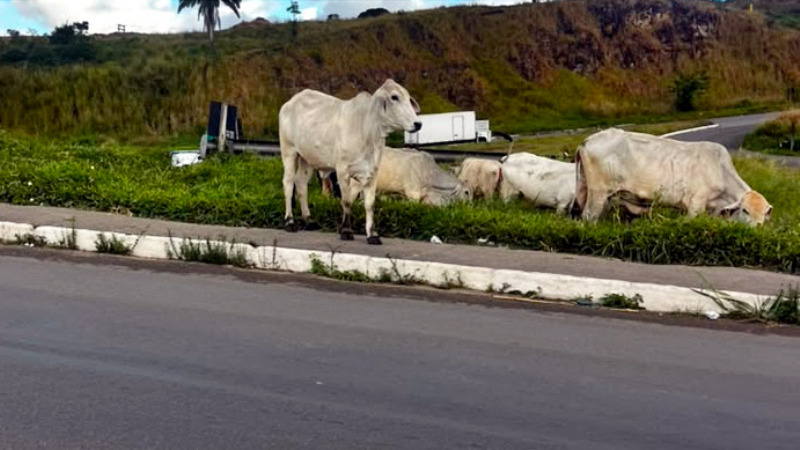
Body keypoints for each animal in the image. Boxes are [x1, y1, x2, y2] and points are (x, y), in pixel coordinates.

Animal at [278, 79, 421, 244]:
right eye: (394, 97)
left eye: (408, 98)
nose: (418, 124)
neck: (368, 131)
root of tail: (291, 101)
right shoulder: (342, 171)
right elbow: (346, 201)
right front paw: (346, 231)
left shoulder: (372, 173)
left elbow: (369, 204)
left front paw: (372, 234)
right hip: (289, 151)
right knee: (288, 183)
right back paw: (290, 221)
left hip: (307, 159)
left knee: (301, 184)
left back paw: (308, 219)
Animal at [575, 128, 772, 225]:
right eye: (745, 210)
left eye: (764, 214)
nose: (758, 227)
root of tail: (588, 140)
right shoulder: (695, 204)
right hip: (598, 193)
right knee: (589, 217)